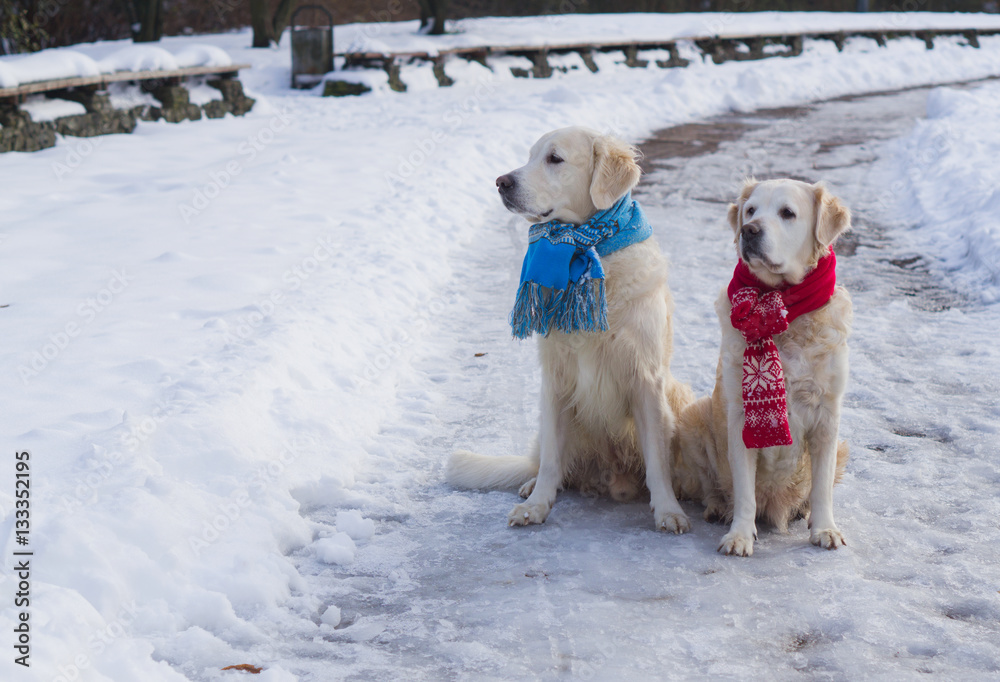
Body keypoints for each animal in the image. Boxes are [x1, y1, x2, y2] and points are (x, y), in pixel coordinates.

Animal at [448, 126, 692, 532]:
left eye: (554, 158)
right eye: (530, 156)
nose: (501, 182)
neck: (588, 248)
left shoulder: (647, 377)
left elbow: (657, 461)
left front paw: (668, 510)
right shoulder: (557, 379)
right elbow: (551, 460)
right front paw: (536, 505)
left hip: (677, 396)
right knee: (547, 461)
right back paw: (530, 486)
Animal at [672, 178, 852, 556]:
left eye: (787, 213)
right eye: (751, 210)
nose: (749, 230)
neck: (782, 308)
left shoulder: (828, 416)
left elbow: (822, 486)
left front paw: (825, 528)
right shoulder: (741, 417)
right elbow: (743, 492)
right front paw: (740, 534)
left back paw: (803, 511)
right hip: (693, 418)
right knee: (712, 487)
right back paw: (717, 508)